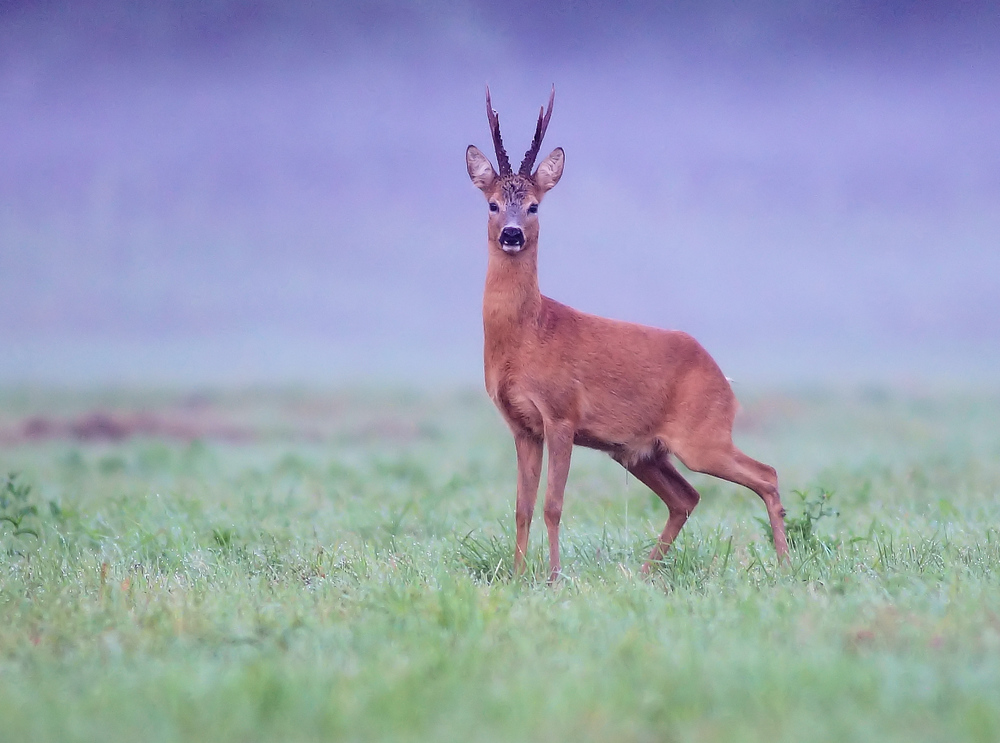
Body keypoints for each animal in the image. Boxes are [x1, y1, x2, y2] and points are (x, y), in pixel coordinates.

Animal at [468, 90, 788, 584]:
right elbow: (522, 507)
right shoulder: (522, 426)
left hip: (702, 436)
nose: (512, 234)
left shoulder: (562, 415)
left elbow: (553, 505)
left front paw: (554, 578)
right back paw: (644, 573)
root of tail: (724, 380)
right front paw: (520, 577)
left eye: (535, 205)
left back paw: (787, 567)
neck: (527, 336)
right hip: (640, 452)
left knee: (766, 474)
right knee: (687, 496)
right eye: (493, 204)